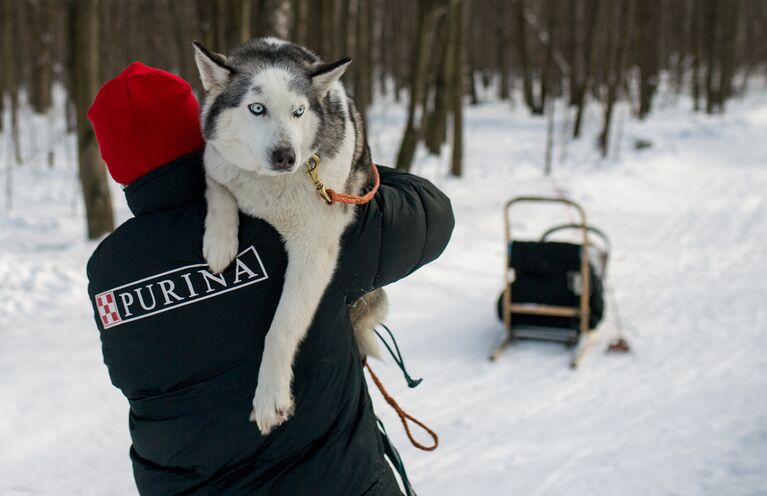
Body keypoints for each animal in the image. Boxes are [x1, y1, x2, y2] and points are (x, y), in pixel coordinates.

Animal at [192, 38, 384, 434]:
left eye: (299, 111)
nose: (286, 156)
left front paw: (270, 398)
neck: (270, 186)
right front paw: (220, 242)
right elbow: (218, 188)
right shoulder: (215, 162)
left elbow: (280, 329)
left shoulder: (314, 249)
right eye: (257, 108)